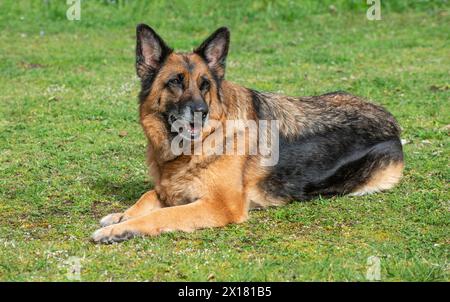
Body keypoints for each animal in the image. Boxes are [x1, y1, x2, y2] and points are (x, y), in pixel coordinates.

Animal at [92, 25, 404, 243]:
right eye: (175, 82)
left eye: (205, 85)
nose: (201, 112)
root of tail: (391, 120)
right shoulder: (169, 189)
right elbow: (147, 197)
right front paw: (120, 216)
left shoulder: (220, 205)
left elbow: (162, 213)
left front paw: (121, 229)